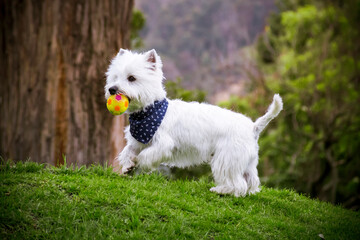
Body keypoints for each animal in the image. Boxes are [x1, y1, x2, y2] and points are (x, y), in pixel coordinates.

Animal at [102, 48, 282, 197]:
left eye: (131, 78)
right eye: (115, 77)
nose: (112, 89)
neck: (148, 111)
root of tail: (253, 127)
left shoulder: (163, 144)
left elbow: (145, 156)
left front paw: (138, 164)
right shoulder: (139, 140)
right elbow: (127, 151)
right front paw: (128, 166)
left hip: (226, 158)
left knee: (238, 184)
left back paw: (221, 190)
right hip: (245, 161)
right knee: (251, 181)